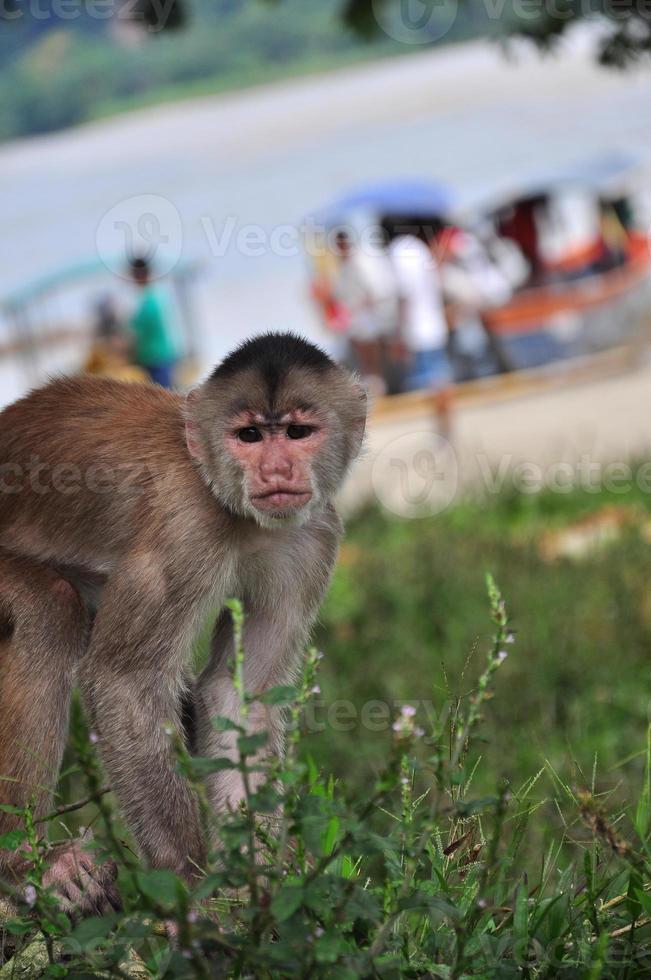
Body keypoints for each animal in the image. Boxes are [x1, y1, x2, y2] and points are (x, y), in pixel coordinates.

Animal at [0, 332, 366, 904]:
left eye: (297, 432)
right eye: (249, 435)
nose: (276, 470)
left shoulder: (313, 538)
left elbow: (240, 695)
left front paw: (255, 882)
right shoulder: (186, 526)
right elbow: (125, 683)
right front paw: (191, 893)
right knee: (49, 611)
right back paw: (22, 865)